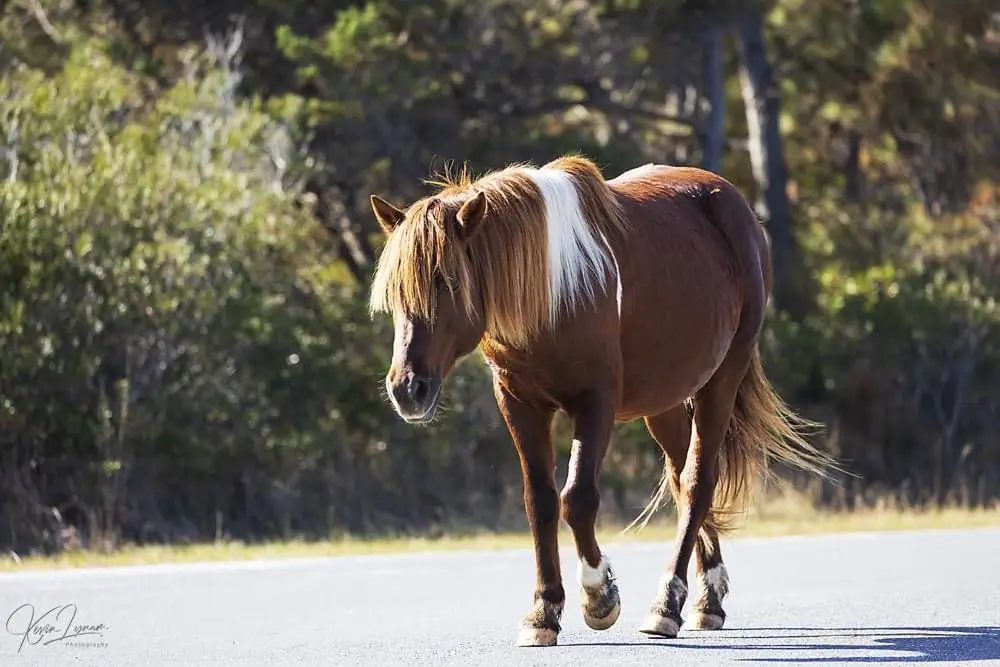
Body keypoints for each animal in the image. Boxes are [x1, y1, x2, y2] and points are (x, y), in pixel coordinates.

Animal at [366, 154, 837, 647]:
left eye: (449, 281)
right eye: (395, 291)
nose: (408, 388)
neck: (554, 289)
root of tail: (735, 205)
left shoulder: (596, 403)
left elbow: (578, 498)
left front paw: (599, 596)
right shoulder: (519, 403)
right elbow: (541, 501)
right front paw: (543, 611)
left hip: (721, 380)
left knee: (698, 481)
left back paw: (667, 604)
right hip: (665, 402)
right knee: (682, 477)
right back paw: (708, 600)